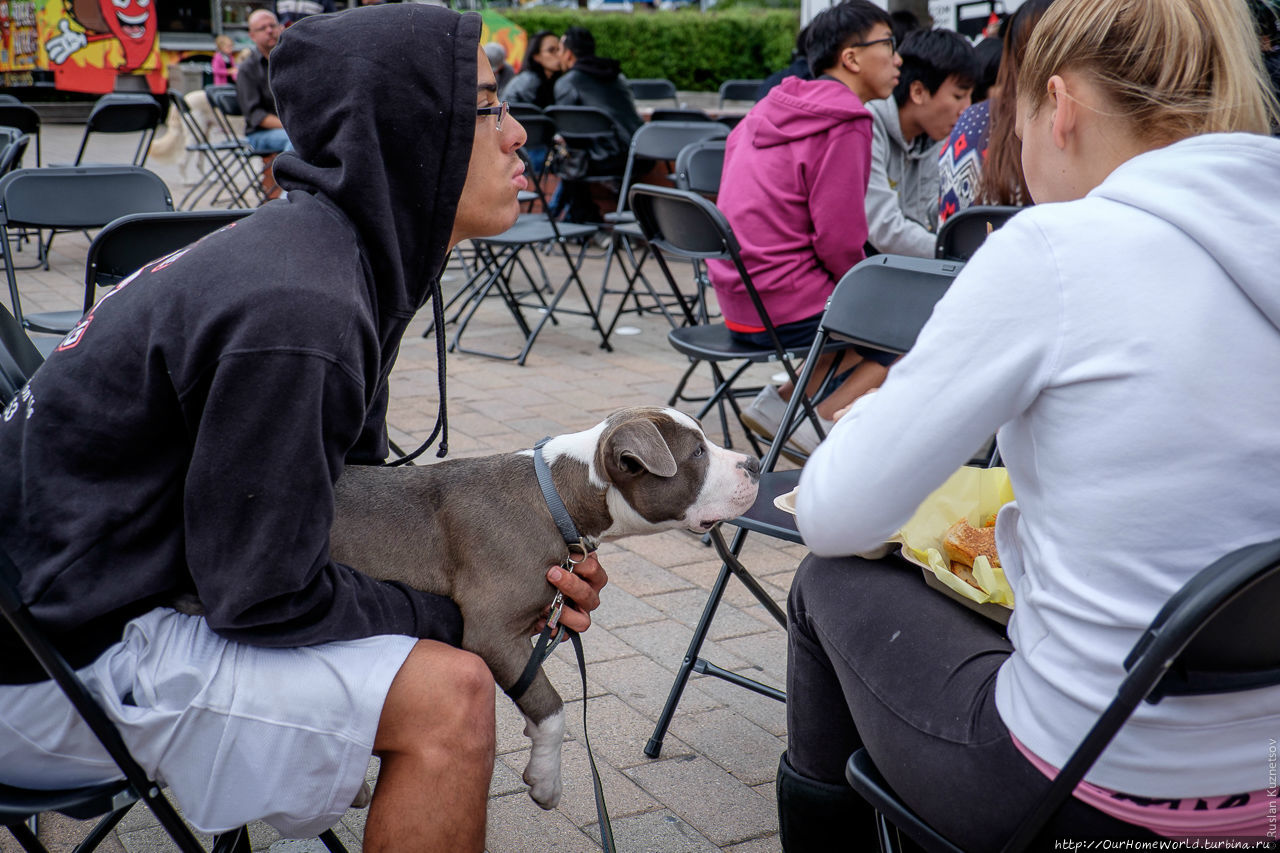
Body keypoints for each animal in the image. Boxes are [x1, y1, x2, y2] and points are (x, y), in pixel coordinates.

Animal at [327, 404, 757, 804]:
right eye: (697, 452)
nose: (753, 463)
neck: (557, 499)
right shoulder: (492, 632)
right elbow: (552, 708)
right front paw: (546, 780)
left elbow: (535, 691)